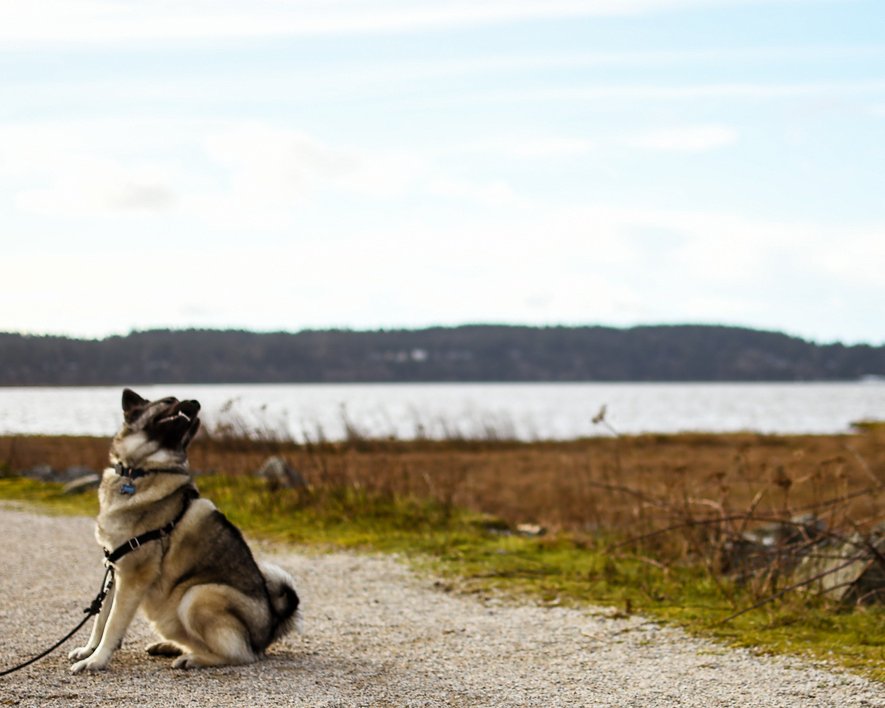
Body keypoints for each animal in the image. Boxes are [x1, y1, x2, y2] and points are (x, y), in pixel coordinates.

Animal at [66, 390, 300, 672]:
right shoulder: (115, 568)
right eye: (169, 401)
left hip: (197, 595)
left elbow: (112, 623)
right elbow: (100, 618)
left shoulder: (133, 574)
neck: (139, 470)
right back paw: (170, 647)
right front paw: (89, 650)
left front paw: (96, 660)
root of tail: (270, 627)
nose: (196, 402)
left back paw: (193, 658)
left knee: (240, 654)